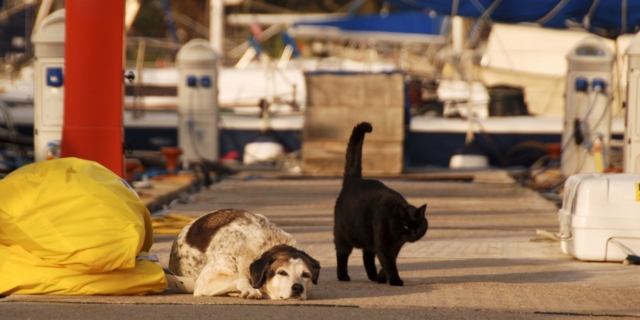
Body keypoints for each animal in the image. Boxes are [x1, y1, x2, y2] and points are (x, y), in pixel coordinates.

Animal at [169, 209, 320, 298]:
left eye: (306, 275)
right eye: (282, 272)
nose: (298, 288)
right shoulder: (205, 280)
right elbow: (239, 277)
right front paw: (249, 289)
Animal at [332, 121, 428, 286]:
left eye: (419, 226)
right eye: (406, 226)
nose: (413, 234)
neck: (396, 237)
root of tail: (354, 180)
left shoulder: (394, 247)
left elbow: (387, 263)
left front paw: (382, 278)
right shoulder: (384, 245)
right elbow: (389, 262)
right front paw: (395, 281)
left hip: (367, 238)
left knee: (367, 256)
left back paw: (373, 276)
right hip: (343, 236)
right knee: (342, 255)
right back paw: (343, 276)